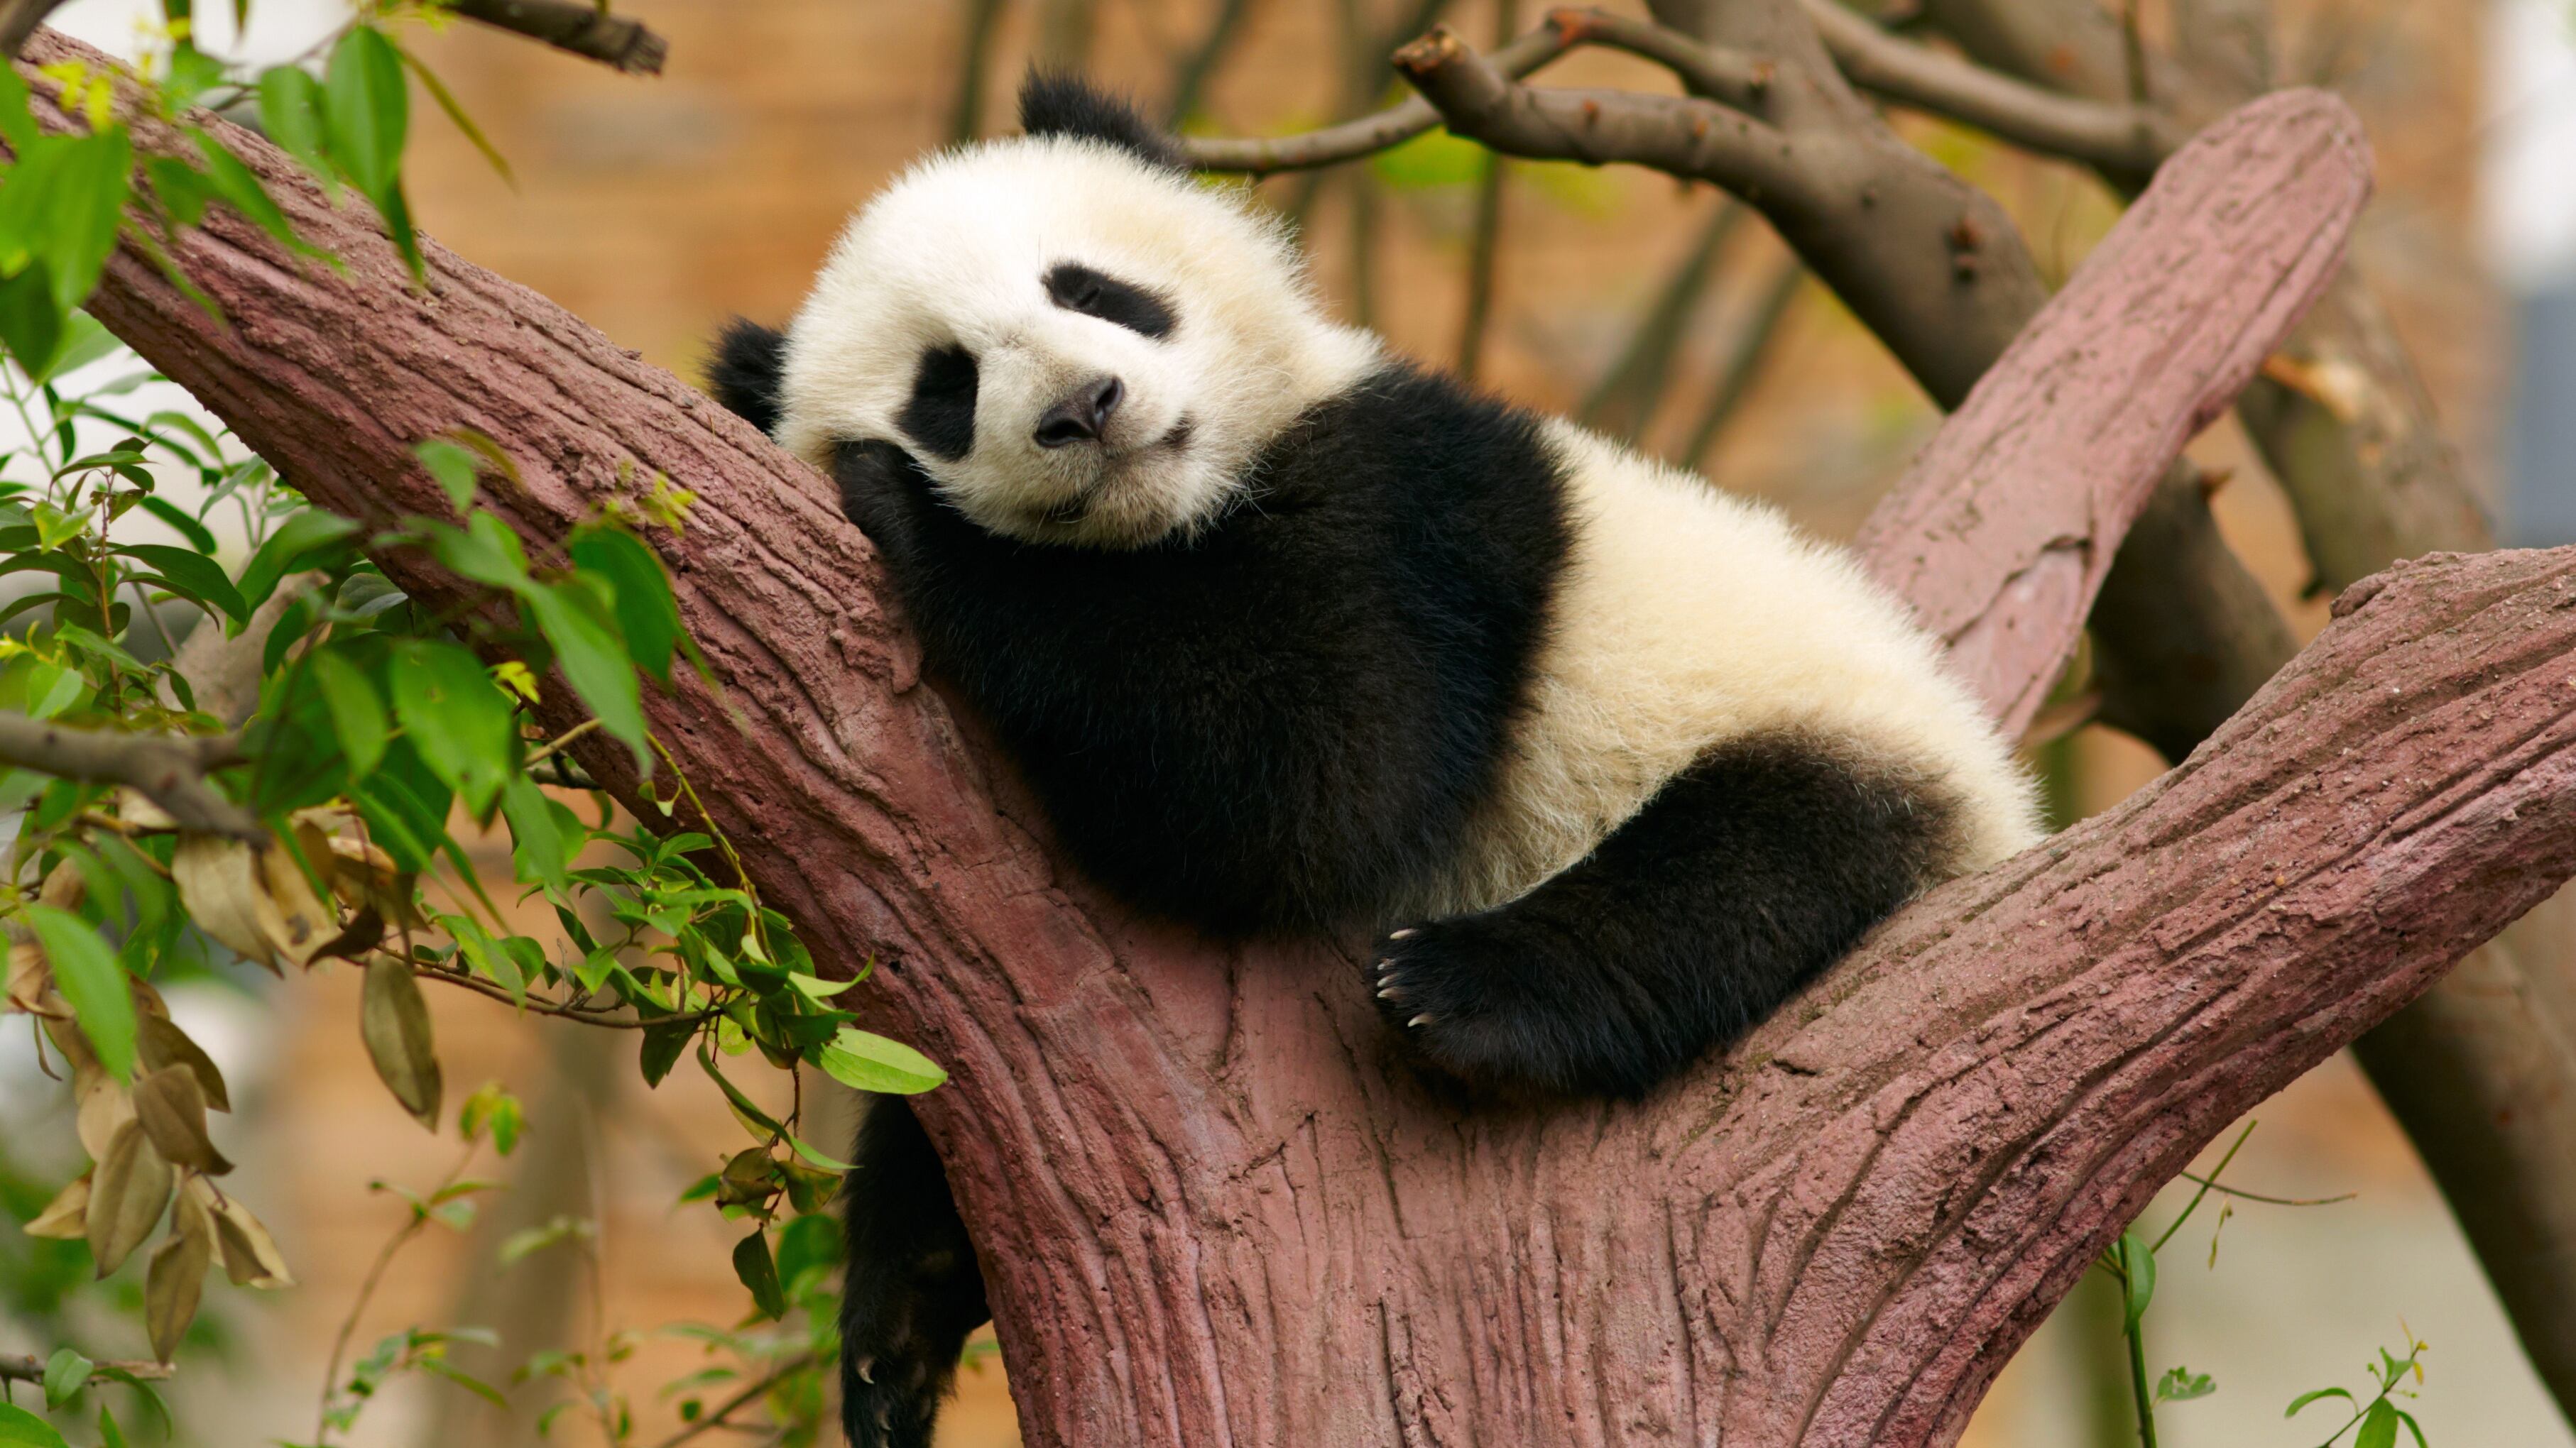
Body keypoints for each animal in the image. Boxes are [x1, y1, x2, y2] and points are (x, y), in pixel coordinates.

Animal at [707, 73, 2040, 1448]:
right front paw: (898, 1318)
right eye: (946, 385)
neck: (1172, 519)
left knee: (1747, 862)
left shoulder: (1410, 504)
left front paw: (913, 516)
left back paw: (1465, 988)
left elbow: (1313, 778)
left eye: (1093, 291)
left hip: (1825, 728)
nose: (1084, 409)